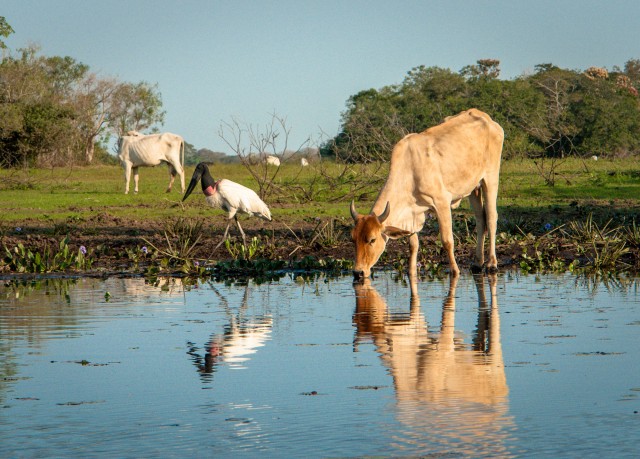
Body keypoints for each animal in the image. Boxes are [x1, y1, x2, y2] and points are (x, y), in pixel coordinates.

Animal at [350, 108, 504, 280]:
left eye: (372, 239)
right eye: (352, 239)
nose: (358, 272)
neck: (409, 171)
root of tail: (486, 117)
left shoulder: (441, 202)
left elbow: (447, 241)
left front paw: (455, 271)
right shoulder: (412, 215)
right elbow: (413, 245)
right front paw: (412, 272)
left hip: (490, 177)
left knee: (491, 217)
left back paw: (492, 263)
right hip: (473, 188)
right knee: (480, 219)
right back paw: (478, 263)